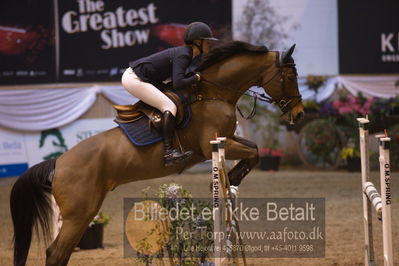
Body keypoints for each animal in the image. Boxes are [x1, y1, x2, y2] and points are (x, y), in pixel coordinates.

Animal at [9, 40, 304, 264]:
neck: (213, 93)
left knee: (60, 252)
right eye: (290, 77)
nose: (299, 115)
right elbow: (253, 153)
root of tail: (58, 162)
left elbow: (253, 149)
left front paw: (232, 181)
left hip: (83, 212)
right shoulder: (212, 144)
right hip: (79, 214)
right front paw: (231, 178)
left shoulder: (227, 139)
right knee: (56, 253)